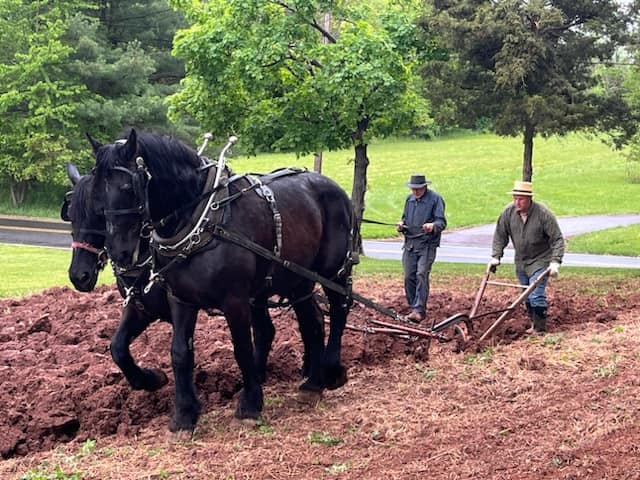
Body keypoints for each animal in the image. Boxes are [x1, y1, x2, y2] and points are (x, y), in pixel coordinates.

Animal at [88, 129, 354, 432]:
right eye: (96, 192)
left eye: (128, 187)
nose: (119, 252)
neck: (202, 220)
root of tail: (335, 189)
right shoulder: (180, 299)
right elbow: (177, 352)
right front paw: (183, 413)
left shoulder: (235, 300)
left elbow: (242, 348)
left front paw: (250, 405)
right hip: (297, 280)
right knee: (313, 323)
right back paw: (312, 384)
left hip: (332, 272)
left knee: (338, 311)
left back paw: (330, 370)